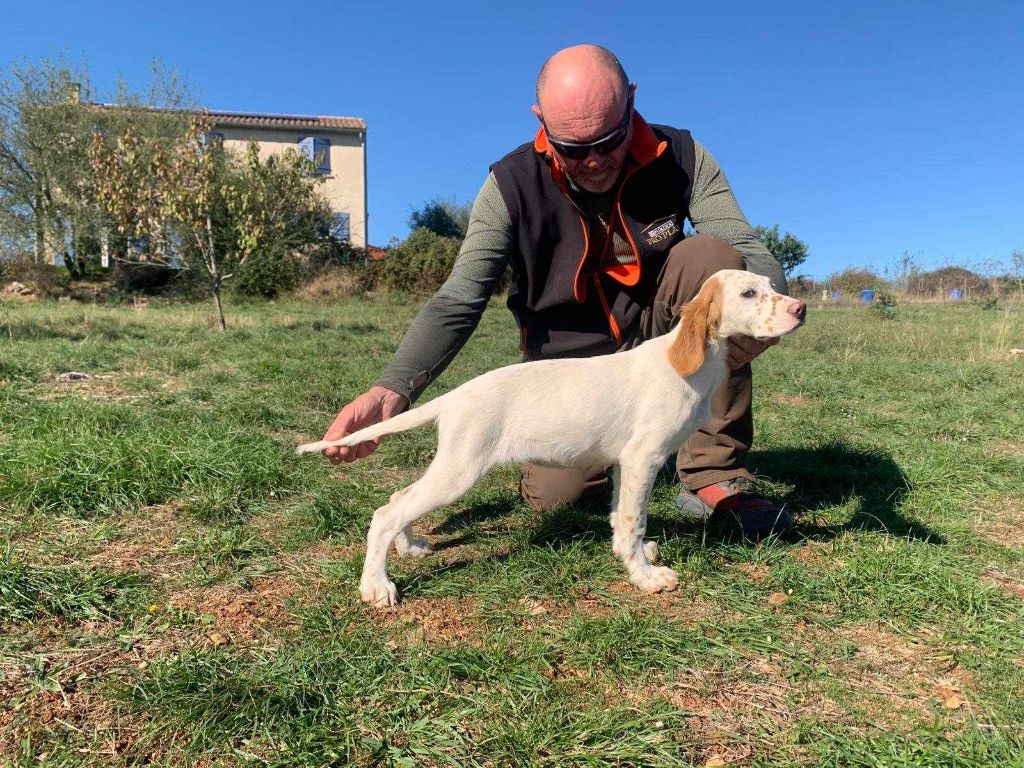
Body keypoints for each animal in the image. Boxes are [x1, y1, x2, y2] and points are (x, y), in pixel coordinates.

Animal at [297, 269, 806, 606]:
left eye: (772, 285)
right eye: (749, 293)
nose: (800, 309)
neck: (689, 363)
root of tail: (456, 396)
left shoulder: (623, 462)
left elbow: (621, 518)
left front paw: (634, 556)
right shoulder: (643, 457)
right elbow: (633, 520)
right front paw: (645, 577)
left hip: (452, 466)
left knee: (399, 498)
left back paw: (410, 546)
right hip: (461, 469)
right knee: (386, 512)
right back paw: (376, 586)